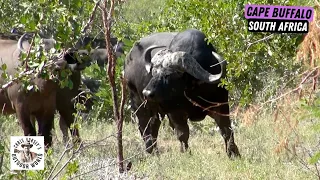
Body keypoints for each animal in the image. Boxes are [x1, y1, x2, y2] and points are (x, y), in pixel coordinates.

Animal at [125, 28, 240, 158]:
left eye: (169, 74)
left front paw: (233, 152)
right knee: (144, 127)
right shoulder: (174, 112)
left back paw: (155, 152)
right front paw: (185, 152)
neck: (193, 88)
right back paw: (150, 151)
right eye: (154, 72)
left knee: (153, 126)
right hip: (138, 103)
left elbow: (226, 130)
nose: (147, 92)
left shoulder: (221, 105)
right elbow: (182, 134)